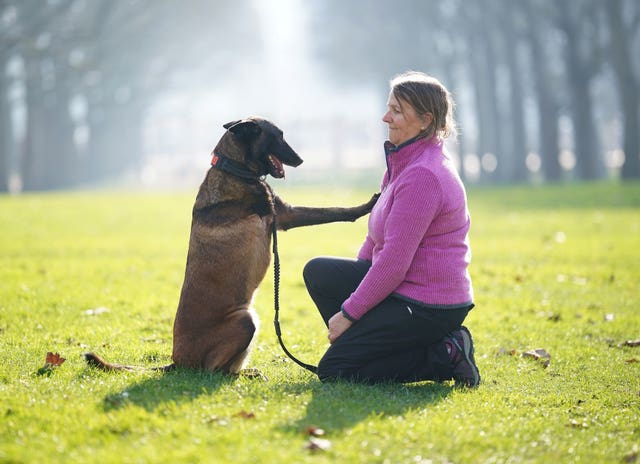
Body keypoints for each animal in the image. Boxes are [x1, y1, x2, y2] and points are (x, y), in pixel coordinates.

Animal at [84, 117, 376, 376]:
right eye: (278, 136)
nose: (301, 159)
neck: (234, 168)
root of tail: (177, 362)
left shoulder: (284, 215)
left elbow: (331, 211)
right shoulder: (279, 216)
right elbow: (332, 211)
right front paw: (370, 204)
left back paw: (249, 372)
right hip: (244, 321)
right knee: (213, 371)